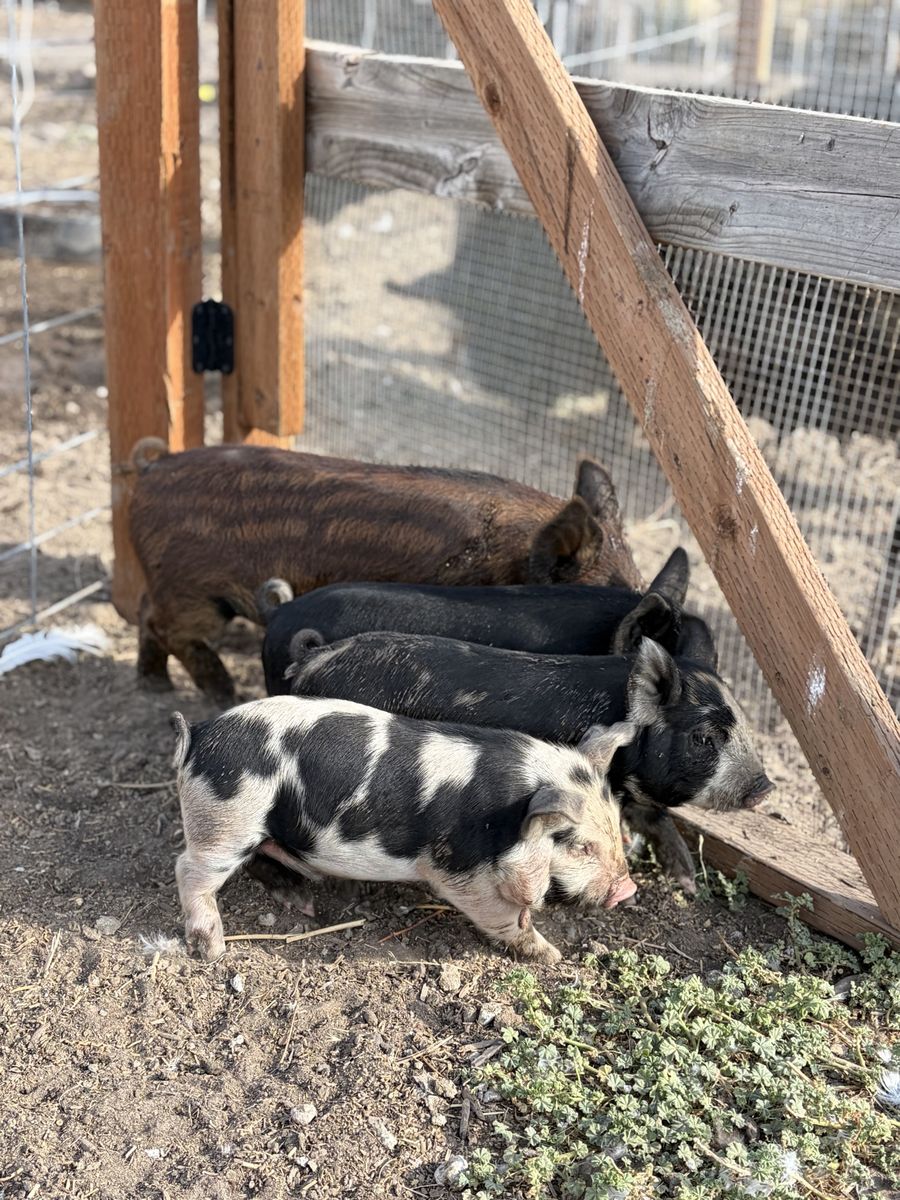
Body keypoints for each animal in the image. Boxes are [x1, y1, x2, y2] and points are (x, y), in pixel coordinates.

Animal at [129, 441, 641, 706]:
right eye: (607, 591)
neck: (510, 557)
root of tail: (150, 469)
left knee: (145, 615)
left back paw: (155, 685)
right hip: (196, 592)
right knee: (168, 627)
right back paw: (223, 694)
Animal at [171, 696, 637, 964]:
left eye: (616, 824)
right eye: (580, 845)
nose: (627, 889)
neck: (504, 814)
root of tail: (198, 736)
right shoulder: (458, 870)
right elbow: (503, 917)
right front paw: (553, 957)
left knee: (260, 860)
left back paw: (306, 904)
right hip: (227, 818)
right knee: (188, 869)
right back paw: (213, 950)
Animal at [286, 631, 773, 893]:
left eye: (745, 725)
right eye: (704, 737)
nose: (765, 788)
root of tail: (313, 656)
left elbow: (658, 820)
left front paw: (687, 883)